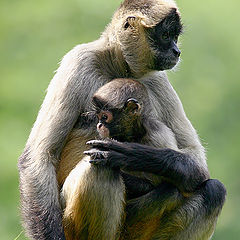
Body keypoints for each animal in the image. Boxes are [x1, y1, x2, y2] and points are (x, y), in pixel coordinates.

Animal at [18, 0, 225, 240]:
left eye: (175, 37)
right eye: (166, 36)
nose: (176, 51)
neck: (118, 67)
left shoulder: (157, 78)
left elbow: (196, 160)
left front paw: (135, 155)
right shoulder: (79, 58)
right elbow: (38, 156)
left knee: (213, 191)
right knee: (100, 169)